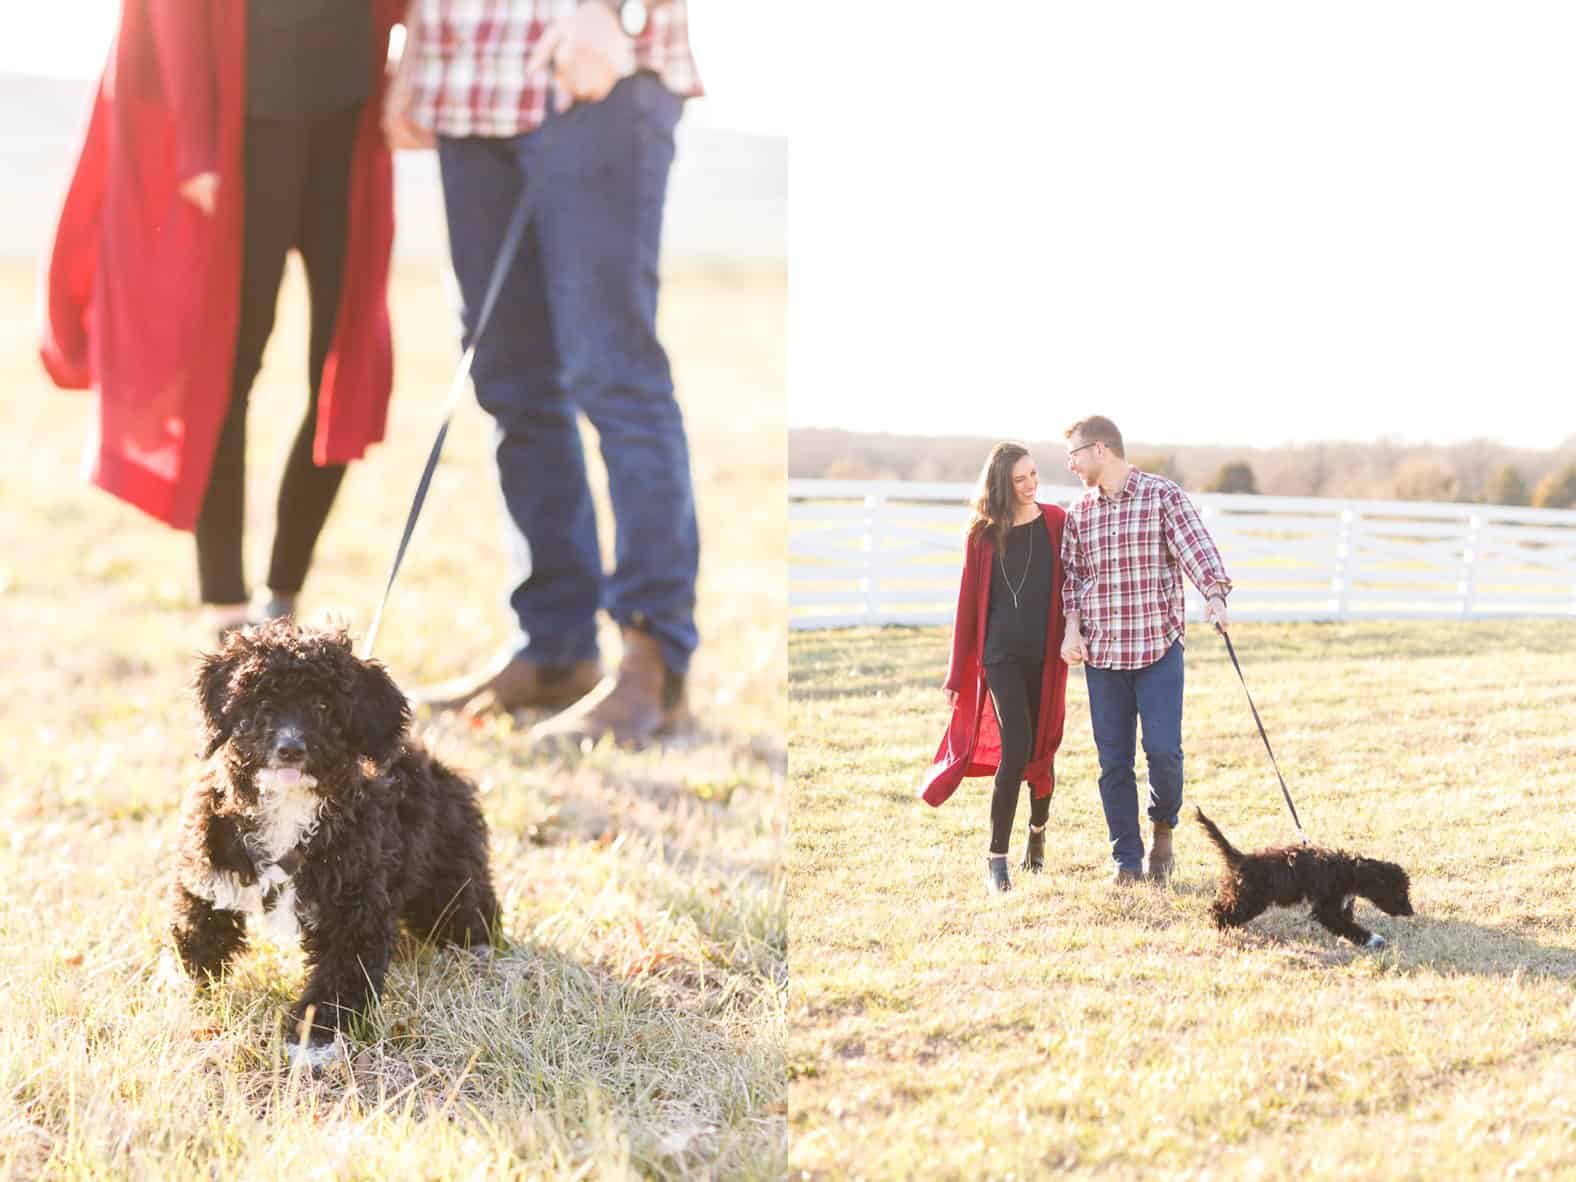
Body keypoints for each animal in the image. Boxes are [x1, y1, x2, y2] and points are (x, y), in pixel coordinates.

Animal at [170, 624, 498, 1071]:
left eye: (323, 706)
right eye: (263, 703)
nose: (291, 748)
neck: (288, 809)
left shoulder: (354, 909)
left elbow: (340, 977)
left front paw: (315, 1040)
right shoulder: (211, 864)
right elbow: (197, 926)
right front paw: (191, 986)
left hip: (448, 868)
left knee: (467, 904)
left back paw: (478, 948)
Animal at [1191, 813, 1418, 951]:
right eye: (1399, 892)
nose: (1410, 912)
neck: (1350, 871)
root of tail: (1240, 857)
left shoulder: (1340, 906)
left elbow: (1347, 924)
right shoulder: (1326, 909)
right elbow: (1347, 926)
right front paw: (1373, 939)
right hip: (1249, 898)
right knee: (1219, 910)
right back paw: (1219, 928)